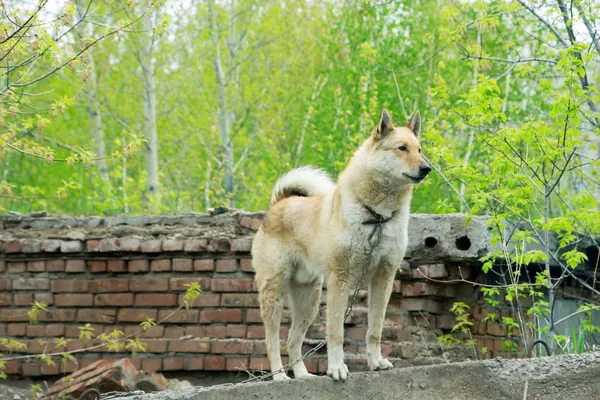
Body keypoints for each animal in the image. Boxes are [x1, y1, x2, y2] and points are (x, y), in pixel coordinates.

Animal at [251, 108, 428, 380]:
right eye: (402, 148)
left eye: (419, 149)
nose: (427, 168)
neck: (377, 216)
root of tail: (280, 203)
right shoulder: (340, 280)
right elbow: (336, 333)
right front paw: (336, 368)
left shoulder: (384, 278)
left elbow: (375, 329)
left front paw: (376, 362)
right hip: (275, 291)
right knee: (271, 341)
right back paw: (280, 375)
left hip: (309, 300)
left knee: (293, 341)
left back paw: (302, 375)